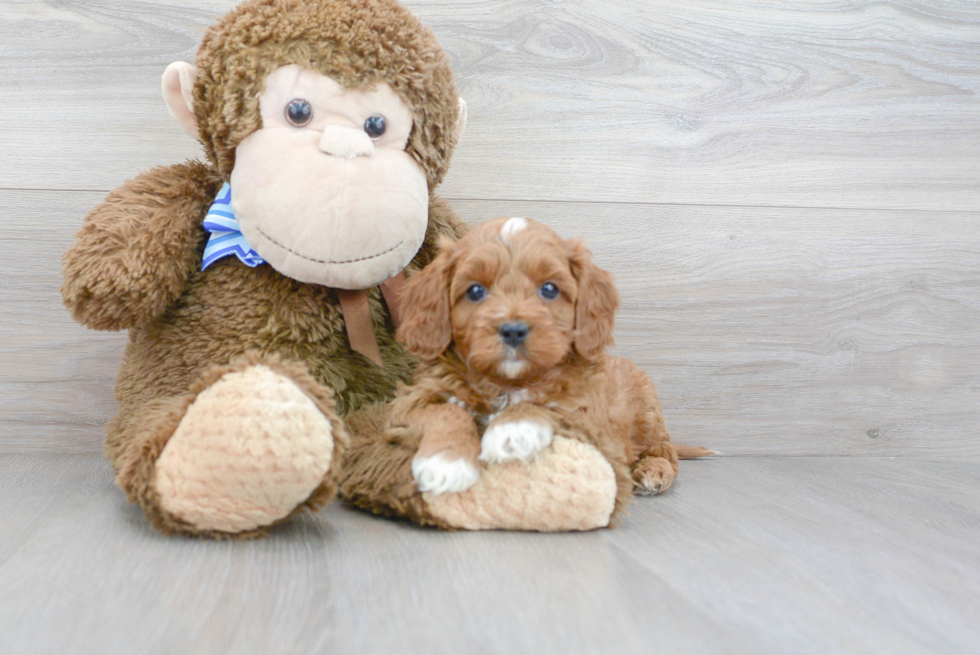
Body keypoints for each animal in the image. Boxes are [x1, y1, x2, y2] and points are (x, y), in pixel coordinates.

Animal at [390, 218, 704, 494]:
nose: (513, 330)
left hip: (648, 415)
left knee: (665, 451)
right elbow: (444, 411)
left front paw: (513, 429)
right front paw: (445, 462)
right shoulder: (409, 401)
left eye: (549, 289)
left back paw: (654, 472)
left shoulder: (590, 420)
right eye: (475, 290)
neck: (506, 383)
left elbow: (550, 403)